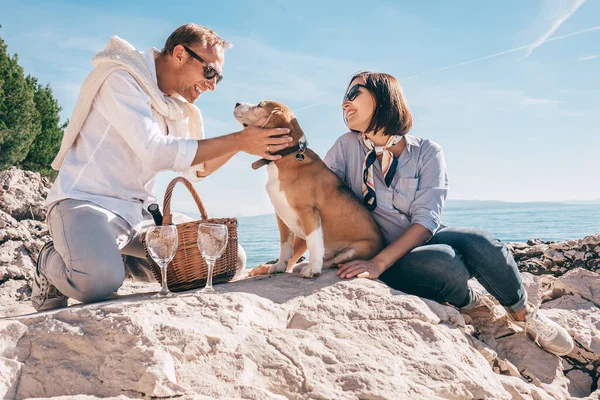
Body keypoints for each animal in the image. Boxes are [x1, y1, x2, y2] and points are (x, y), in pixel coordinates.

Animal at [232, 100, 382, 278]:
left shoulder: (308, 211)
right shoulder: (280, 215)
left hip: (358, 249)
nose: (237, 103)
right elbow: (285, 246)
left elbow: (313, 242)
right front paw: (280, 266)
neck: (286, 156)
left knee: (333, 261)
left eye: (260, 105)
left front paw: (312, 269)